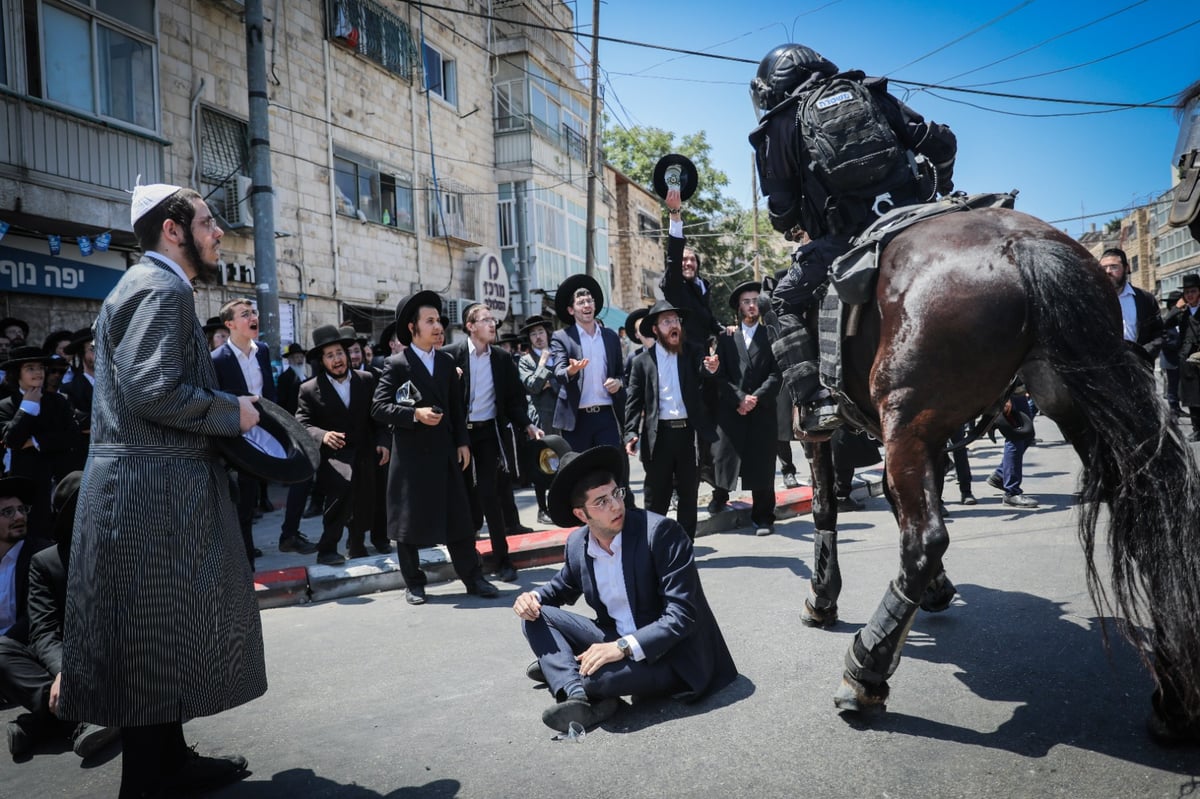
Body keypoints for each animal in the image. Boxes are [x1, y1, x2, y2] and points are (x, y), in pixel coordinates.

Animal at [796, 205, 1200, 739]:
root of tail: (1023, 245)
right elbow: (892, 497)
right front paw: (937, 591)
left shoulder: (819, 430)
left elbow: (826, 505)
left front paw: (824, 598)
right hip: (1072, 399)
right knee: (1144, 509)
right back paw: (1173, 698)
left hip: (910, 420)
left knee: (923, 540)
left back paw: (865, 676)